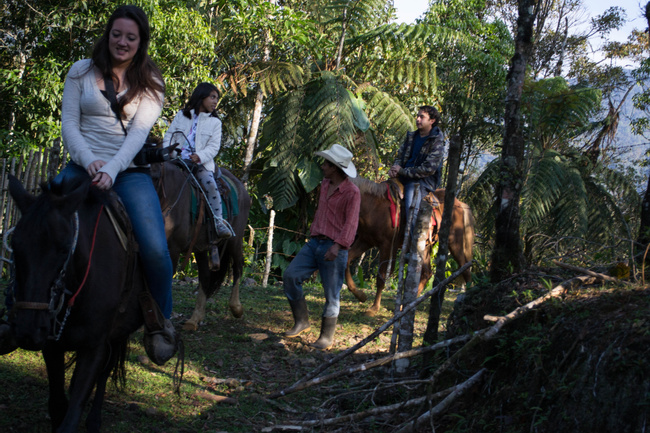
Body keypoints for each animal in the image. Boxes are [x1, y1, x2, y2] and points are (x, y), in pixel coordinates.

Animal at [7, 174, 145, 430]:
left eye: (64, 249)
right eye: (15, 246)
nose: (28, 330)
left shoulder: (94, 346)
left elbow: (72, 417)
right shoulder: (51, 345)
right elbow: (58, 406)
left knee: (106, 369)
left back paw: (94, 421)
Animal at [151, 162, 249, 330]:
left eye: (156, 176)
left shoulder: (173, 249)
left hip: (235, 240)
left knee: (238, 267)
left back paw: (236, 308)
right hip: (200, 247)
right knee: (205, 276)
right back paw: (194, 319)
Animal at [344, 177, 470, 316]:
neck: (374, 207)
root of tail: (459, 204)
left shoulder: (388, 246)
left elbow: (381, 276)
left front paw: (374, 308)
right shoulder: (365, 241)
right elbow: (347, 260)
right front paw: (360, 295)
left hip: (455, 243)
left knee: (466, 267)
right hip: (425, 248)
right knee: (427, 273)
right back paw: (405, 306)